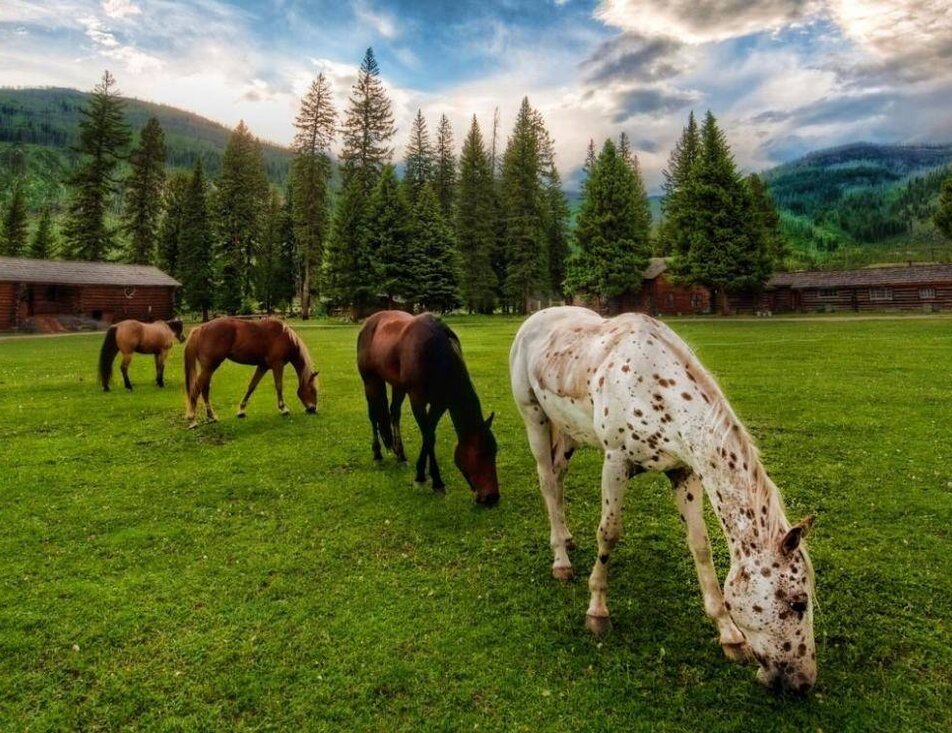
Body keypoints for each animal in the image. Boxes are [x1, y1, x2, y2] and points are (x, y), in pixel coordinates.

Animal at [183, 317, 318, 429]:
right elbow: (279, 386)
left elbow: (252, 386)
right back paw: (193, 419)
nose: (312, 409)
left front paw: (241, 411)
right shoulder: (277, 365)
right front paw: (283, 408)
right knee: (196, 389)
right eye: (313, 390)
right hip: (209, 368)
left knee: (204, 389)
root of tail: (200, 329)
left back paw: (212, 417)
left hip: (208, 369)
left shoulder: (263, 367)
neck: (285, 337)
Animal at [357, 311, 500, 506]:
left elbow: (429, 435)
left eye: (495, 452)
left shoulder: (440, 403)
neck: (435, 354)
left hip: (398, 387)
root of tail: (370, 321)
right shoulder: (417, 400)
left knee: (394, 414)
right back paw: (377, 455)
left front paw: (422, 476)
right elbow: (429, 437)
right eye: (480, 453)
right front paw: (434, 482)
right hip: (370, 381)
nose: (492, 497)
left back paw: (400, 456)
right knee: (373, 416)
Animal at [509, 306, 816, 693]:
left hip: (569, 432)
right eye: (797, 602)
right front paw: (597, 611)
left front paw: (729, 635)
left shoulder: (684, 473)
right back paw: (561, 561)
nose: (804, 682)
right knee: (548, 483)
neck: (655, 388)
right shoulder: (615, 461)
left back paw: (566, 538)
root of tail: (537, 317)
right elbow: (608, 534)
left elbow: (700, 546)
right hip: (534, 417)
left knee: (559, 476)